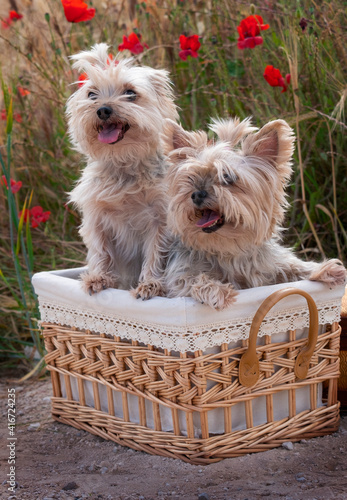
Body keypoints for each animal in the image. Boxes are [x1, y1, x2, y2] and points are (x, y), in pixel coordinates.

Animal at [66, 44, 178, 296]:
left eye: (130, 93)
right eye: (92, 94)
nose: (103, 110)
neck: (123, 162)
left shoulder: (160, 220)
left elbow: (156, 253)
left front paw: (151, 284)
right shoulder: (97, 217)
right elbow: (100, 251)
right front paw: (98, 278)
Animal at [162, 119, 346, 310]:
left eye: (227, 177)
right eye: (190, 178)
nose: (197, 194)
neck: (228, 249)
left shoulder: (270, 265)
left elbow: (292, 266)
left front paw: (325, 269)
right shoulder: (178, 277)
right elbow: (188, 280)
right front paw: (215, 290)